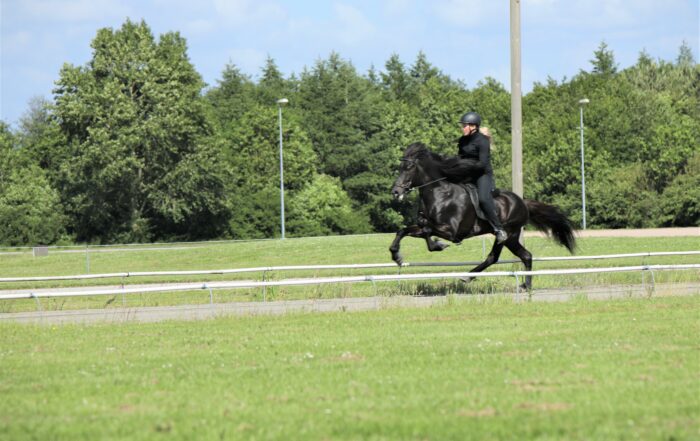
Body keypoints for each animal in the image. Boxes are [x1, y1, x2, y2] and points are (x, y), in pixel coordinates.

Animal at [388, 143, 576, 290]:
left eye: (409, 168)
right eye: (400, 168)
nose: (396, 192)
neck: (439, 193)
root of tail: (522, 201)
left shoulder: (451, 232)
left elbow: (428, 231)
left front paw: (438, 245)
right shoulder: (424, 225)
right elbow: (404, 231)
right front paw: (397, 257)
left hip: (508, 234)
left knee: (499, 256)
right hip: (510, 238)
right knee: (522, 256)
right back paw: (523, 285)